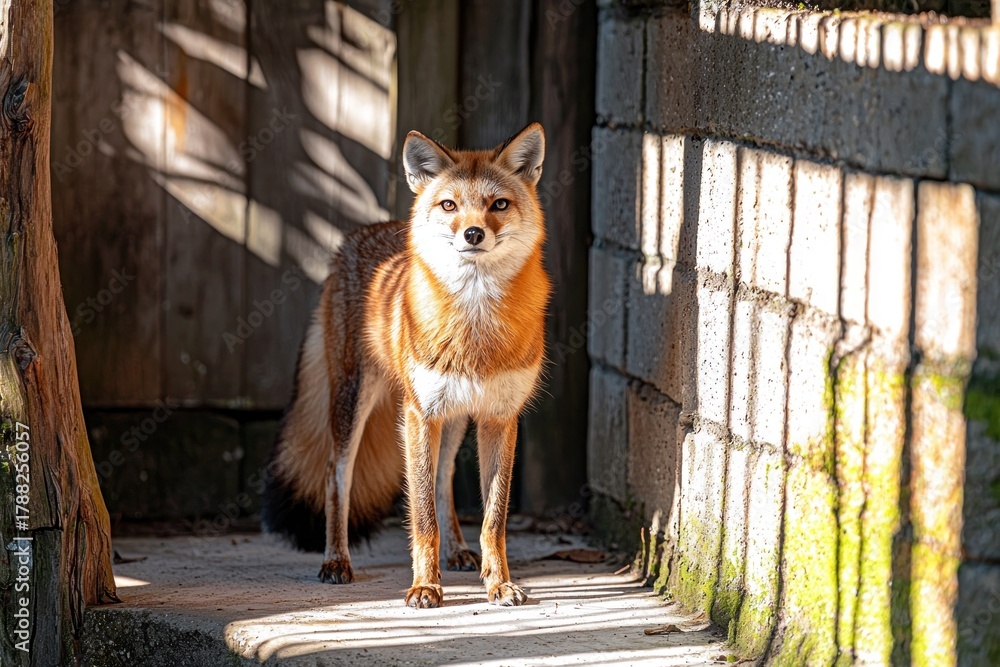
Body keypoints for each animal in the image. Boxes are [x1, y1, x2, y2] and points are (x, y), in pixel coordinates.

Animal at [261, 123, 551, 608]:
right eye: (449, 205)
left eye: (499, 205)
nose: (473, 234)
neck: (474, 328)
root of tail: (355, 237)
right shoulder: (418, 413)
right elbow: (421, 517)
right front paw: (425, 586)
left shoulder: (499, 416)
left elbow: (492, 520)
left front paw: (498, 583)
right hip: (355, 404)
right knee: (335, 477)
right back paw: (336, 560)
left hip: (454, 419)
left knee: (443, 478)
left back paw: (459, 551)